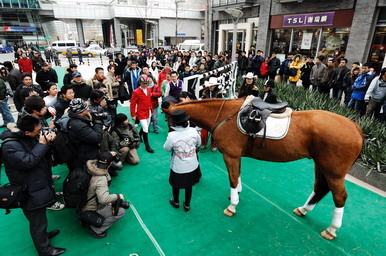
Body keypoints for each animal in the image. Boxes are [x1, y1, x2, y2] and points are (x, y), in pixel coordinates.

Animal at [164, 97, 364, 240]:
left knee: (339, 197)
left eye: (168, 119)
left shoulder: (231, 155)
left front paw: (232, 205)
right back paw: (303, 209)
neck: (224, 115)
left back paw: (331, 229)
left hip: (334, 172)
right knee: (320, 188)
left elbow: (233, 179)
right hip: (321, 165)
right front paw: (236, 195)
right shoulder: (236, 156)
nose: (169, 142)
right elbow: (238, 177)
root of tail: (355, 126)